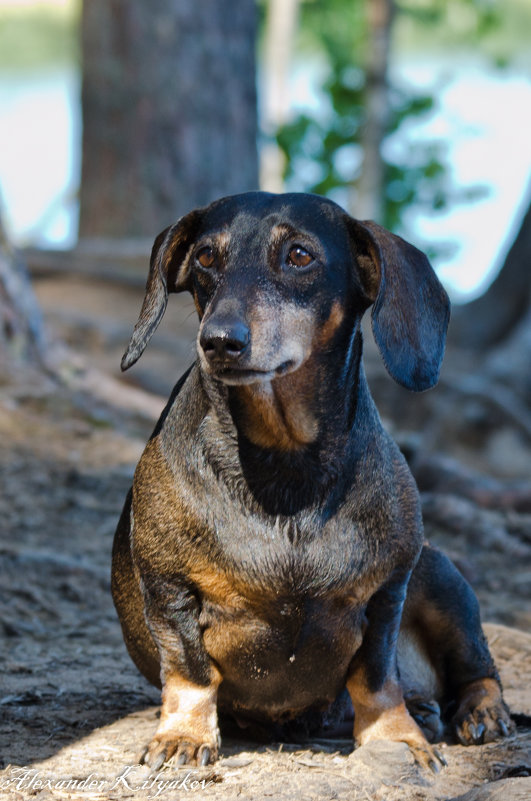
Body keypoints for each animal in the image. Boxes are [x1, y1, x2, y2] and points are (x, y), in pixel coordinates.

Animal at [111, 192, 512, 768]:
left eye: (299, 256)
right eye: (207, 257)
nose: (219, 341)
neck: (285, 468)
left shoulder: (388, 589)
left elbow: (376, 675)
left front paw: (395, 736)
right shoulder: (170, 587)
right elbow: (190, 669)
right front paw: (184, 735)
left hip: (441, 578)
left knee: (478, 668)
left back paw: (478, 711)